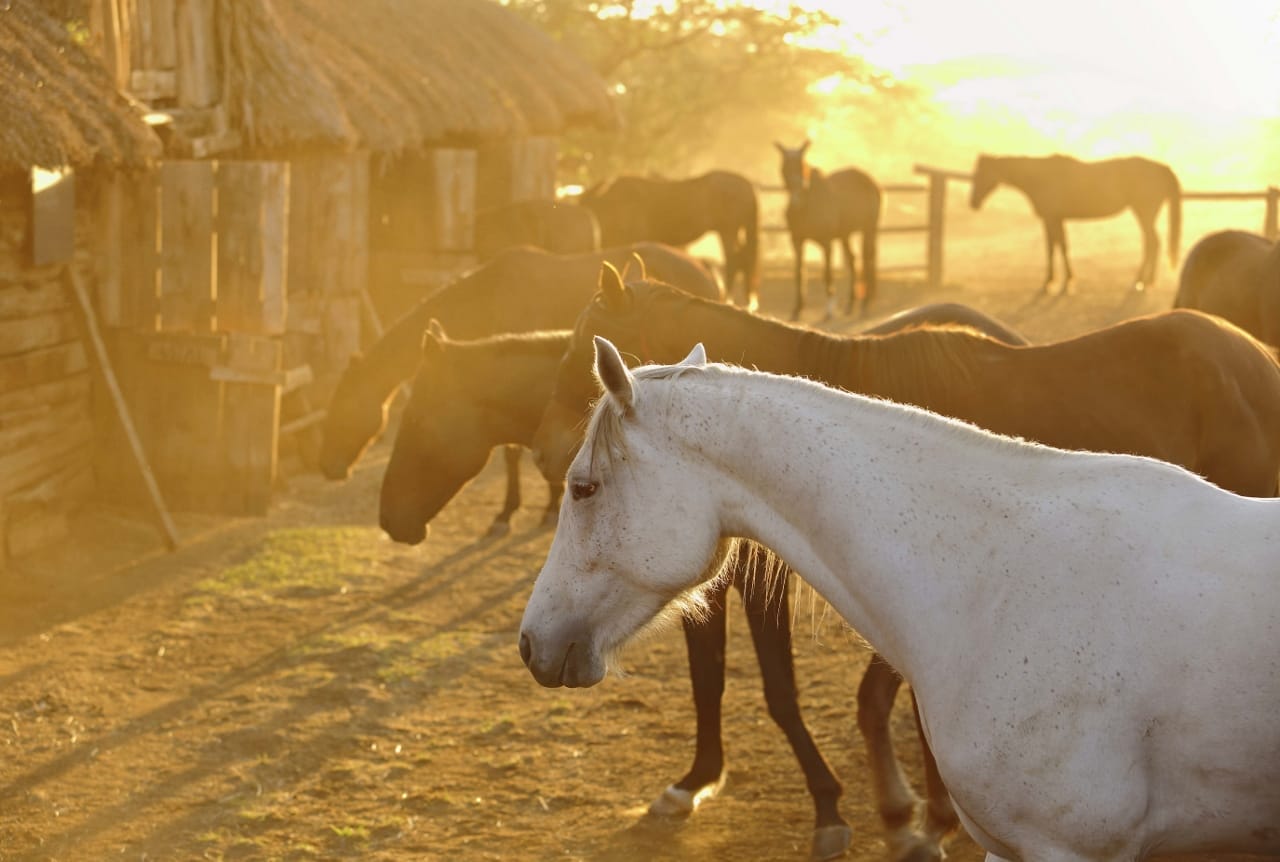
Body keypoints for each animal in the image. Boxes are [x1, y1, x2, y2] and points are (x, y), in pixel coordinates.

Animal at [773, 142, 885, 322]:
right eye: (784, 167)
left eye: (802, 166)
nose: (796, 200)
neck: (808, 205)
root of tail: (870, 180)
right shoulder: (797, 241)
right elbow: (799, 273)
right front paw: (797, 310)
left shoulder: (826, 243)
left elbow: (827, 274)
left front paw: (829, 311)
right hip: (845, 234)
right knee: (852, 259)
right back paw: (850, 305)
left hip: (869, 228)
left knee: (868, 259)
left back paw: (865, 305)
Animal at [967, 151, 1177, 292]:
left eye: (981, 174)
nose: (973, 203)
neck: (1040, 177)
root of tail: (1162, 168)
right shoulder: (1056, 219)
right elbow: (1057, 246)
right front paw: (1061, 280)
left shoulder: (1051, 218)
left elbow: (1056, 247)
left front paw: (1056, 282)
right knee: (1151, 244)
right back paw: (1144, 281)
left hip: (1144, 212)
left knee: (1152, 243)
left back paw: (1143, 281)